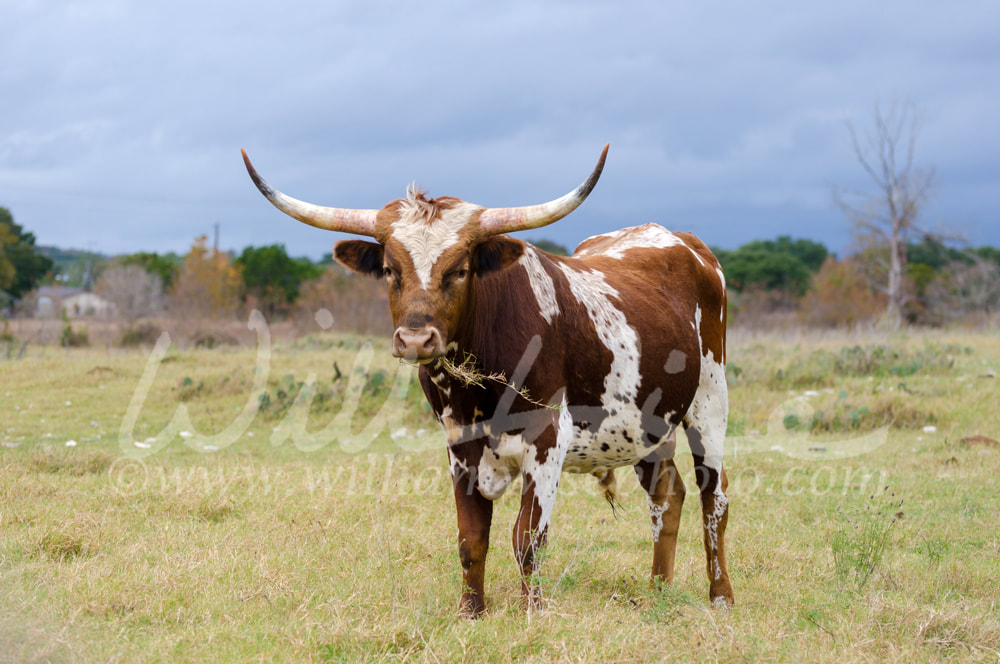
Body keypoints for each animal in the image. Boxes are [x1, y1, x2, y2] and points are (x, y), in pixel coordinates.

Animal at [242, 147, 736, 616]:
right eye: (389, 270)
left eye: (459, 269)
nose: (416, 338)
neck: (475, 391)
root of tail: (682, 242)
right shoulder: (459, 446)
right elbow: (471, 538)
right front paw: (471, 612)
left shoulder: (548, 440)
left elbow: (527, 539)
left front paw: (533, 612)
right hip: (645, 425)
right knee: (666, 495)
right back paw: (658, 592)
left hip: (709, 403)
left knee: (714, 495)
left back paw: (720, 596)